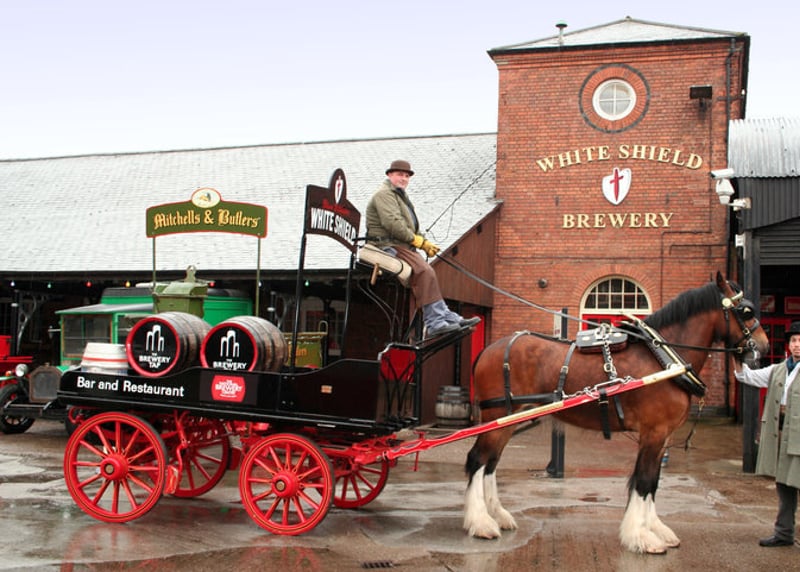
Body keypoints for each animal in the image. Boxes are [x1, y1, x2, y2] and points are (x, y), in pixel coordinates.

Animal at [463, 271, 769, 554]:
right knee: (478, 460)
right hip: (498, 417)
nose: (764, 347)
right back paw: (480, 522)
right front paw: (642, 536)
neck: (663, 360)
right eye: (746, 311)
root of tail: (490, 349)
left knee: (490, 464)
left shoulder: (663, 437)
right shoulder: (653, 433)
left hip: (506, 421)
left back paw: (497, 515)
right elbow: (643, 481)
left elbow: (653, 482)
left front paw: (655, 529)